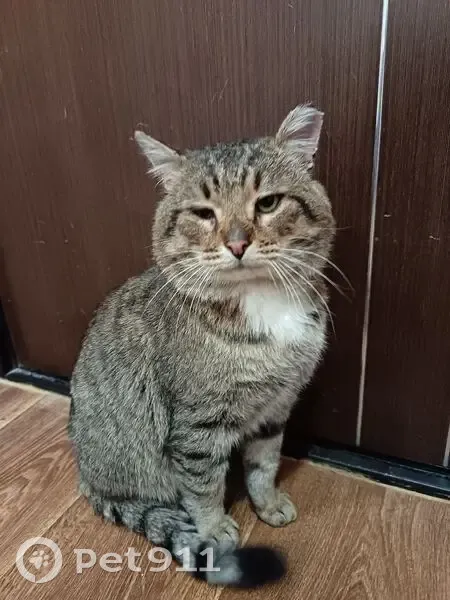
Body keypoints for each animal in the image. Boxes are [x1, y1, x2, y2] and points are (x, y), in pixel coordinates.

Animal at [68, 105, 336, 587]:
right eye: (203, 213)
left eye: (267, 203)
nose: (237, 243)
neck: (258, 304)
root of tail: (87, 478)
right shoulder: (197, 426)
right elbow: (204, 484)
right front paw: (214, 527)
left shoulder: (277, 405)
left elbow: (264, 464)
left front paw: (267, 502)